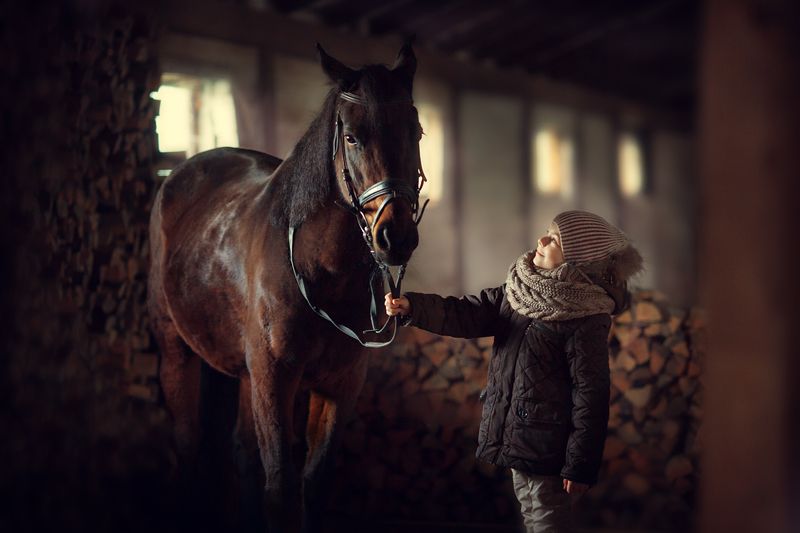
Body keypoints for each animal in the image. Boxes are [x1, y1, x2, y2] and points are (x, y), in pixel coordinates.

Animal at [147, 43, 424, 532]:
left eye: (417, 132)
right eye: (352, 138)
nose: (396, 237)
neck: (323, 272)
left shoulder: (340, 384)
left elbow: (313, 483)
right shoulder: (275, 378)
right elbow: (282, 488)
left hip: (245, 375)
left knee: (241, 451)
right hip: (176, 348)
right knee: (188, 444)